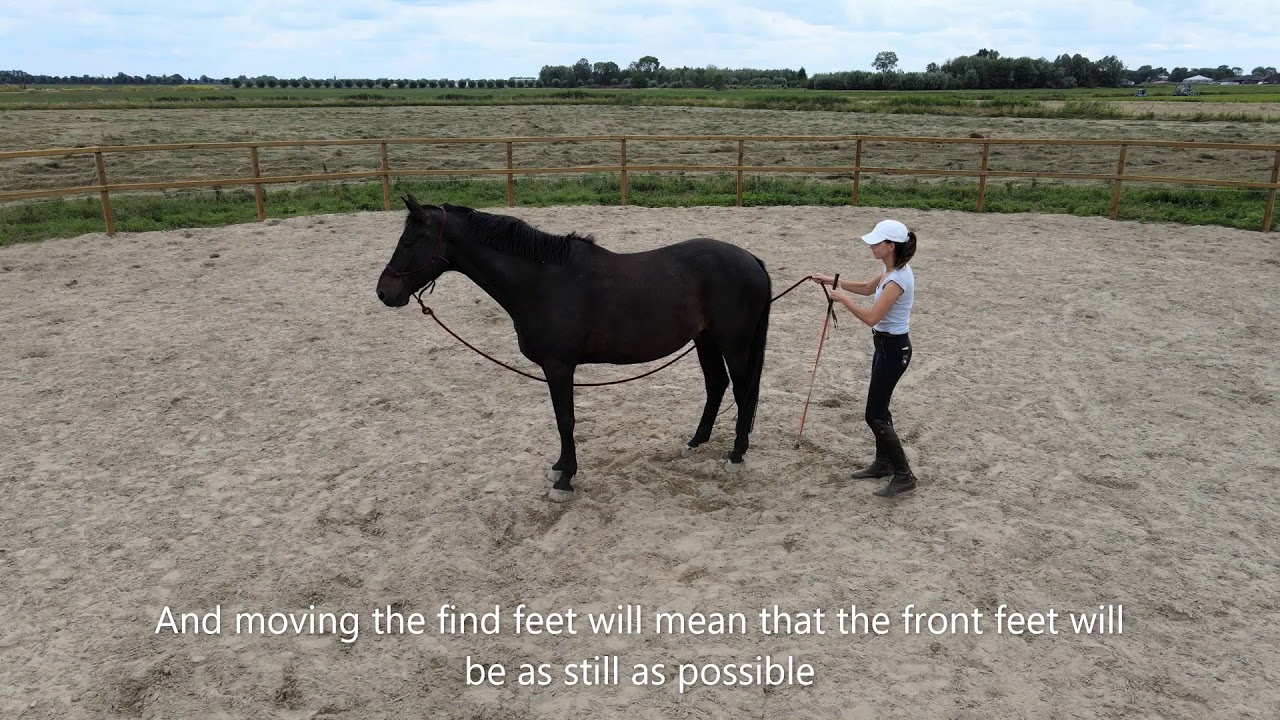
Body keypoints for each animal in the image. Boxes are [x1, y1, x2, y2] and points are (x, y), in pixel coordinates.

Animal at [376, 196, 772, 502]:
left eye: (408, 243)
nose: (384, 292)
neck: (541, 282)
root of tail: (751, 259)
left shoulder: (559, 366)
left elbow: (565, 419)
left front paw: (565, 480)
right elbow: (560, 420)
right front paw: (558, 469)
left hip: (734, 344)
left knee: (741, 391)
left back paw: (736, 455)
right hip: (705, 340)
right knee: (716, 385)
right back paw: (695, 442)